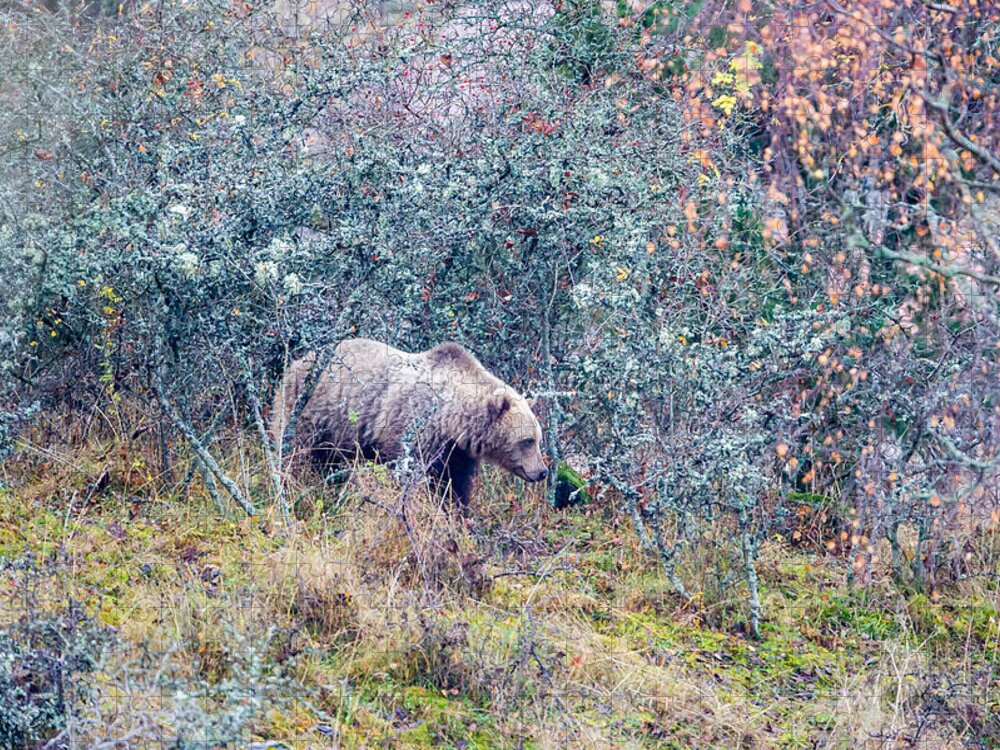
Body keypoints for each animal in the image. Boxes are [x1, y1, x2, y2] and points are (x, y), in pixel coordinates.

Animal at [270, 340, 548, 506]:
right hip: (312, 412)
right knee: (300, 454)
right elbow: (410, 476)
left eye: (538, 439)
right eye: (527, 441)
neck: (451, 422)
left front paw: (457, 512)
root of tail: (298, 360)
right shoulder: (412, 430)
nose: (542, 471)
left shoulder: (457, 452)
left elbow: (454, 485)